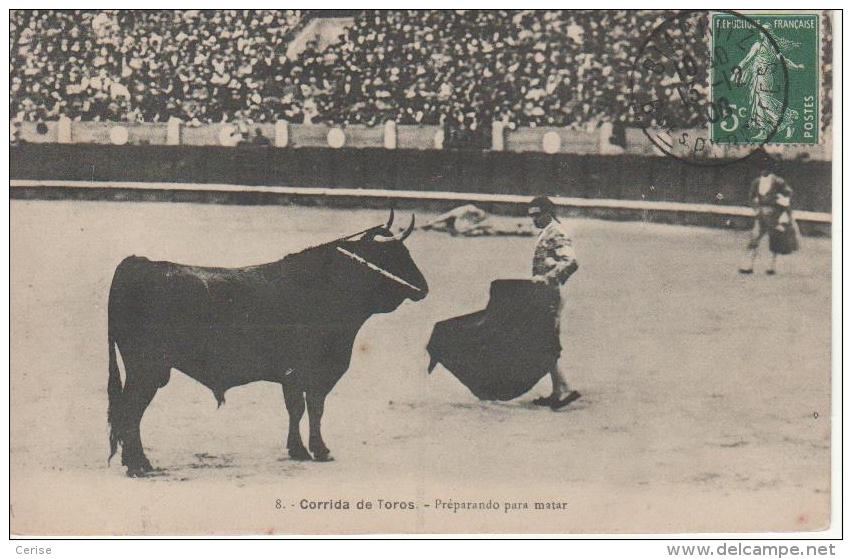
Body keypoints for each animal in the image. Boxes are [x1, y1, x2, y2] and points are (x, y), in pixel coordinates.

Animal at [106, 214, 426, 476]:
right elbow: (313, 408)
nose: (424, 288)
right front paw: (319, 450)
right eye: (395, 256)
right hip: (147, 370)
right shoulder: (315, 373)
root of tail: (138, 262)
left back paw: (133, 462)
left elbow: (297, 409)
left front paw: (298, 449)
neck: (325, 286)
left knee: (127, 412)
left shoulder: (293, 376)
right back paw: (139, 465)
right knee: (130, 411)